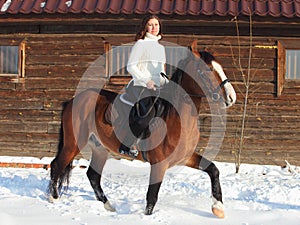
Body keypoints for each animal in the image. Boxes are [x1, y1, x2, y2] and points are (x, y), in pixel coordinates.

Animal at [47, 41, 237, 219]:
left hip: (100, 148)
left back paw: (109, 206)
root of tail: (73, 100)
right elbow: (152, 196)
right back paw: (53, 198)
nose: (231, 97)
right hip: (74, 144)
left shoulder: (185, 157)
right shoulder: (159, 164)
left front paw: (218, 208)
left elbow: (213, 169)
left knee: (93, 175)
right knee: (57, 164)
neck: (176, 118)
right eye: (206, 70)